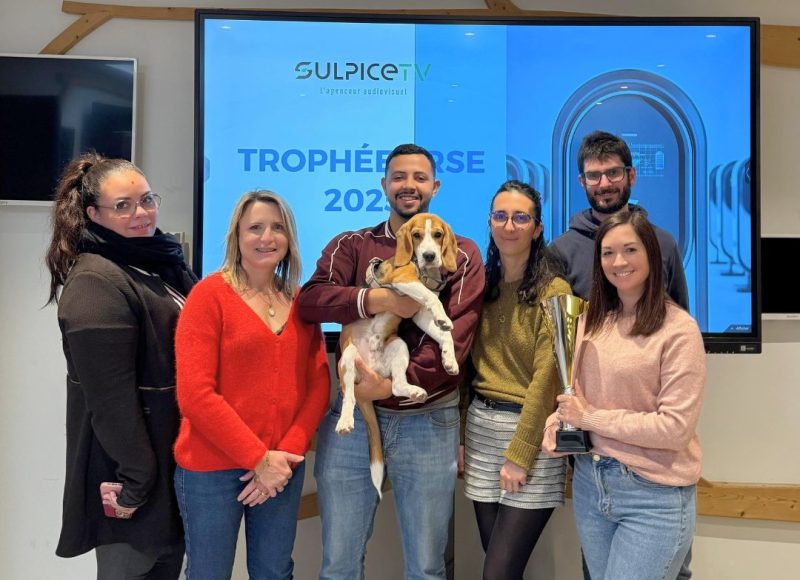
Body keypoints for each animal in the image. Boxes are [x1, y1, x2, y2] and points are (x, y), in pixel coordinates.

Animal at [336, 213, 460, 497]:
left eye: (438, 235)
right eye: (416, 235)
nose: (428, 256)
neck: (422, 271)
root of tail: (371, 368)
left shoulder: (419, 313)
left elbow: (443, 333)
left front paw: (449, 359)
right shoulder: (404, 280)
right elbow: (433, 300)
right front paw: (444, 318)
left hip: (399, 346)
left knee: (396, 384)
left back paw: (414, 391)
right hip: (347, 358)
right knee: (349, 396)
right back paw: (345, 421)